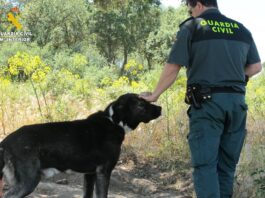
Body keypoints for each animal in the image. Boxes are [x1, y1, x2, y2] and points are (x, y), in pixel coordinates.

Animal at [0, 93, 161, 197]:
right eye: (141, 104)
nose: (160, 108)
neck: (113, 122)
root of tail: (6, 142)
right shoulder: (103, 172)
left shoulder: (89, 175)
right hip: (28, 181)